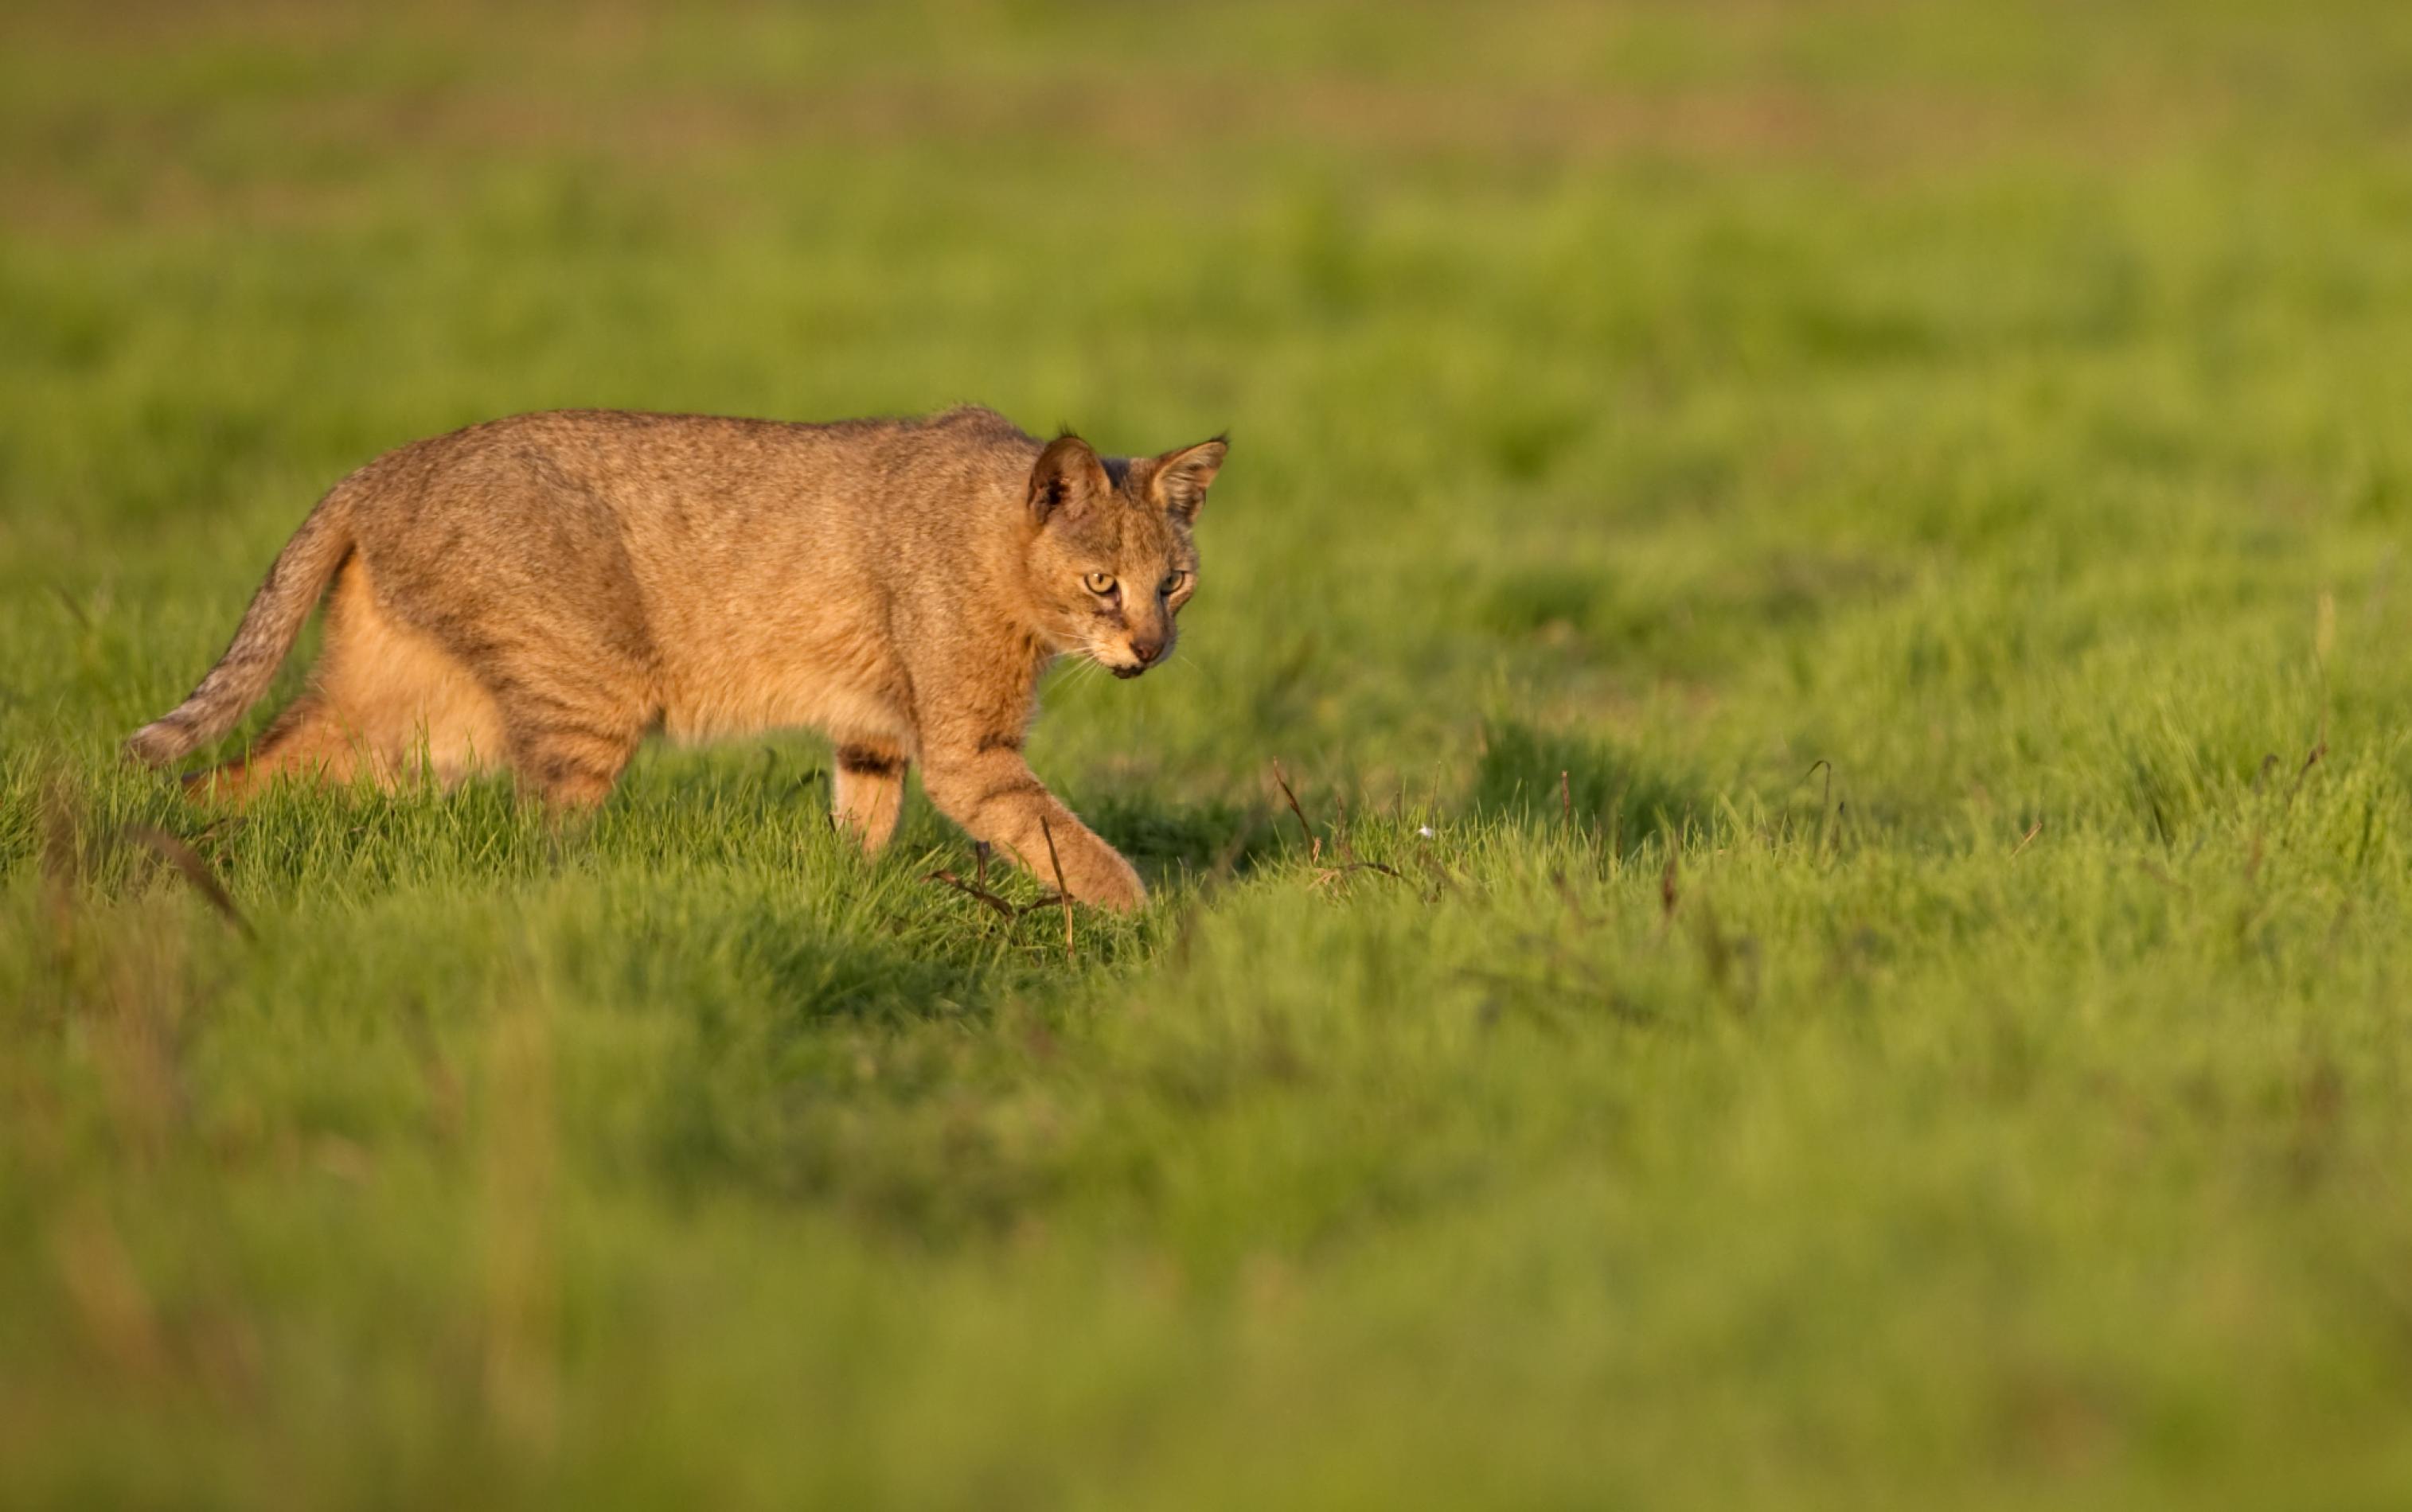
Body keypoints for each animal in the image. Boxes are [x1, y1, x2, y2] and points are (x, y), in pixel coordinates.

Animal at [129, 405, 1225, 911]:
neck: (999, 544)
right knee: (542, 839)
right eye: (1102, 584)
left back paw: (168, 862)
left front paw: (850, 895)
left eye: (1174, 581)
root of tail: (381, 465)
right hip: (585, 696)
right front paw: (1146, 924)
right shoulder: (968, 750)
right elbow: (1064, 838)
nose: (1151, 649)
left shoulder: (873, 729)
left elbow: (863, 823)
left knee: (231, 774)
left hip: (411, 720)